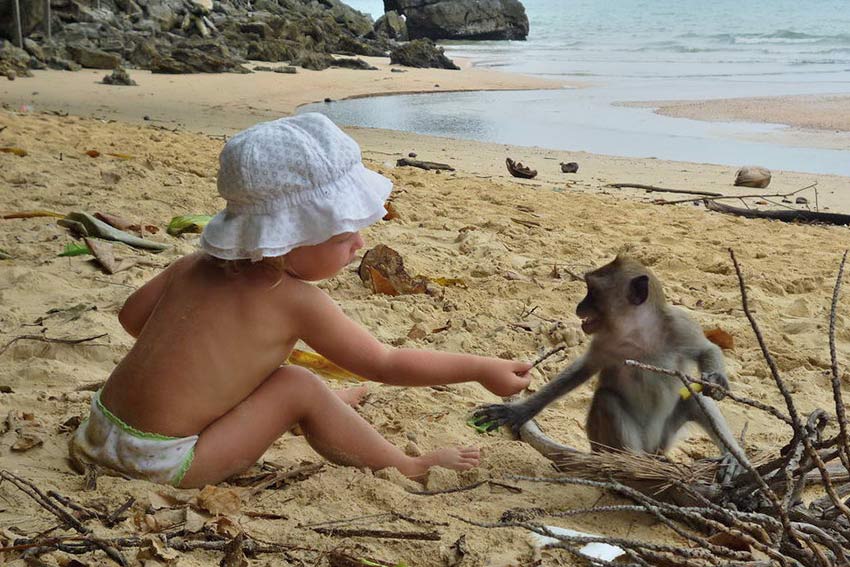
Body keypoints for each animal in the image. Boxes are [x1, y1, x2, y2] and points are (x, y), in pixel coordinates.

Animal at [470, 258, 744, 470]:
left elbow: (707, 350)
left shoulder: (680, 325)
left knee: (695, 399)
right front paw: (519, 411)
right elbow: (581, 371)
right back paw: (634, 463)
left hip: (664, 438)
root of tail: (652, 449)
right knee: (606, 399)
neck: (638, 332)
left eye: (592, 292)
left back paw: (731, 458)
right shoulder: (606, 342)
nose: (579, 306)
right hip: (612, 444)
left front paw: (717, 381)